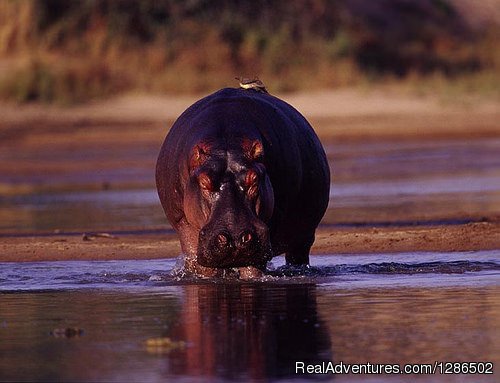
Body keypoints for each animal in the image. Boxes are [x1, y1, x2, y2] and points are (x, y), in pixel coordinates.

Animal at [155, 87, 328, 280]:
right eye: (204, 182)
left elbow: (252, 267)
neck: (225, 141)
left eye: (254, 179)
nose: (235, 237)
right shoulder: (183, 222)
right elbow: (202, 266)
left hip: (303, 237)